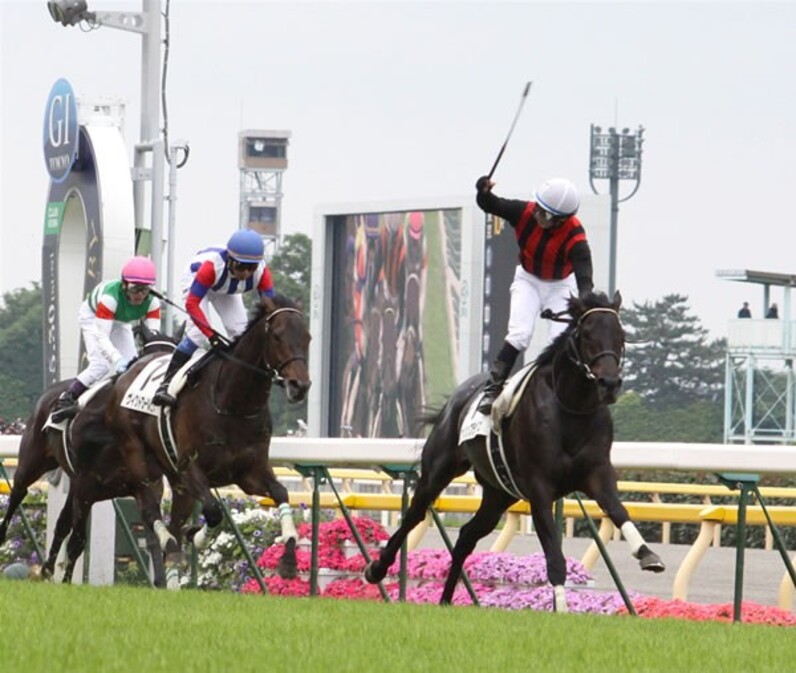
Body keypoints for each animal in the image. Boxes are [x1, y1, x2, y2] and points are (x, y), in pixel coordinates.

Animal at [0, 328, 177, 584]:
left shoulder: (148, 487)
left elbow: (153, 537)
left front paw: (161, 582)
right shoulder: (86, 487)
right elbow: (78, 540)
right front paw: (67, 582)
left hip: (72, 481)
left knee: (61, 523)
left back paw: (47, 570)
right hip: (32, 463)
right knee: (18, 493)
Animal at [103, 294, 312, 581]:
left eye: (308, 337)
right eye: (277, 336)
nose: (299, 386)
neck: (233, 404)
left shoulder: (250, 473)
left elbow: (281, 493)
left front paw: (289, 558)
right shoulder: (190, 467)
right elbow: (213, 511)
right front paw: (198, 536)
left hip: (176, 481)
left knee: (175, 519)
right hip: (139, 458)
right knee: (150, 508)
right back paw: (170, 545)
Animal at [364, 291, 665, 612]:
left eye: (621, 336)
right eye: (586, 334)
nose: (609, 383)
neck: (571, 408)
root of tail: (457, 398)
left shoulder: (597, 473)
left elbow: (619, 511)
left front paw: (647, 554)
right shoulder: (540, 486)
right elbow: (554, 555)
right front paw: (561, 607)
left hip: (498, 494)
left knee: (466, 536)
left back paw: (445, 600)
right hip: (439, 468)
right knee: (415, 514)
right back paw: (377, 568)